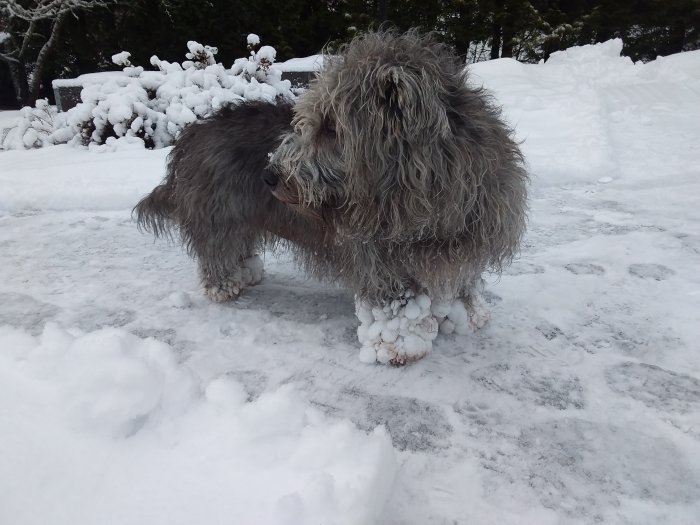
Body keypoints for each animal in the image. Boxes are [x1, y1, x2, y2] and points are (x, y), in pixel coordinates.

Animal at [134, 28, 528, 364]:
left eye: (331, 127)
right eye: (309, 121)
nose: (269, 176)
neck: (428, 194)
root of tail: (192, 133)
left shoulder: (461, 245)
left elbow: (461, 282)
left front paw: (466, 316)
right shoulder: (381, 260)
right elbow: (396, 307)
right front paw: (398, 348)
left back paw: (246, 274)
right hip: (220, 215)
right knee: (218, 251)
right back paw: (225, 286)